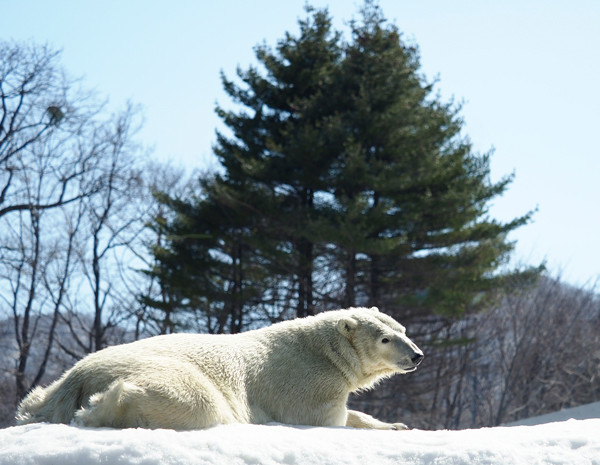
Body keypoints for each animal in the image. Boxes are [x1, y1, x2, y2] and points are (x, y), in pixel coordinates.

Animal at [17, 306, 422, 430]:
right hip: (164, 373)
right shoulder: (307, 383)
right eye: (385, 339)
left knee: (33, 402)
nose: (417, 355)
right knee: (199, 403)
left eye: (403, 329)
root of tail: (80, 375)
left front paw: (396, 425)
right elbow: (329, 419)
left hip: (49, 390)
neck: (322, 350)